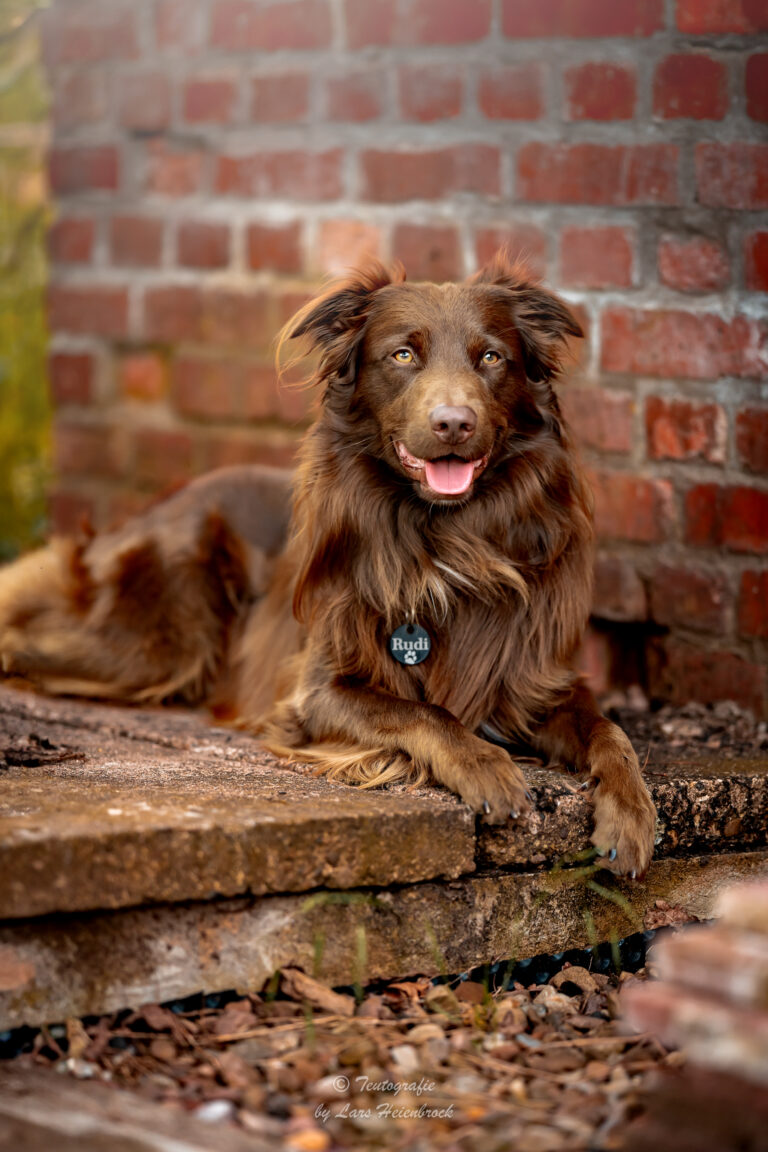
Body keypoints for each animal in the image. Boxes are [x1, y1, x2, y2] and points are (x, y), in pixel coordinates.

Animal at [1, 252, 663, 875]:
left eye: (492, 358)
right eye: (403, 355)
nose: (453, 423)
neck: (451, 540)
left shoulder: (535, 679)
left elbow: (612, 733)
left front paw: (632, 815)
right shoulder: (318, 691)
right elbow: (421, 712)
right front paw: (486, 765)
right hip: (158, 644)